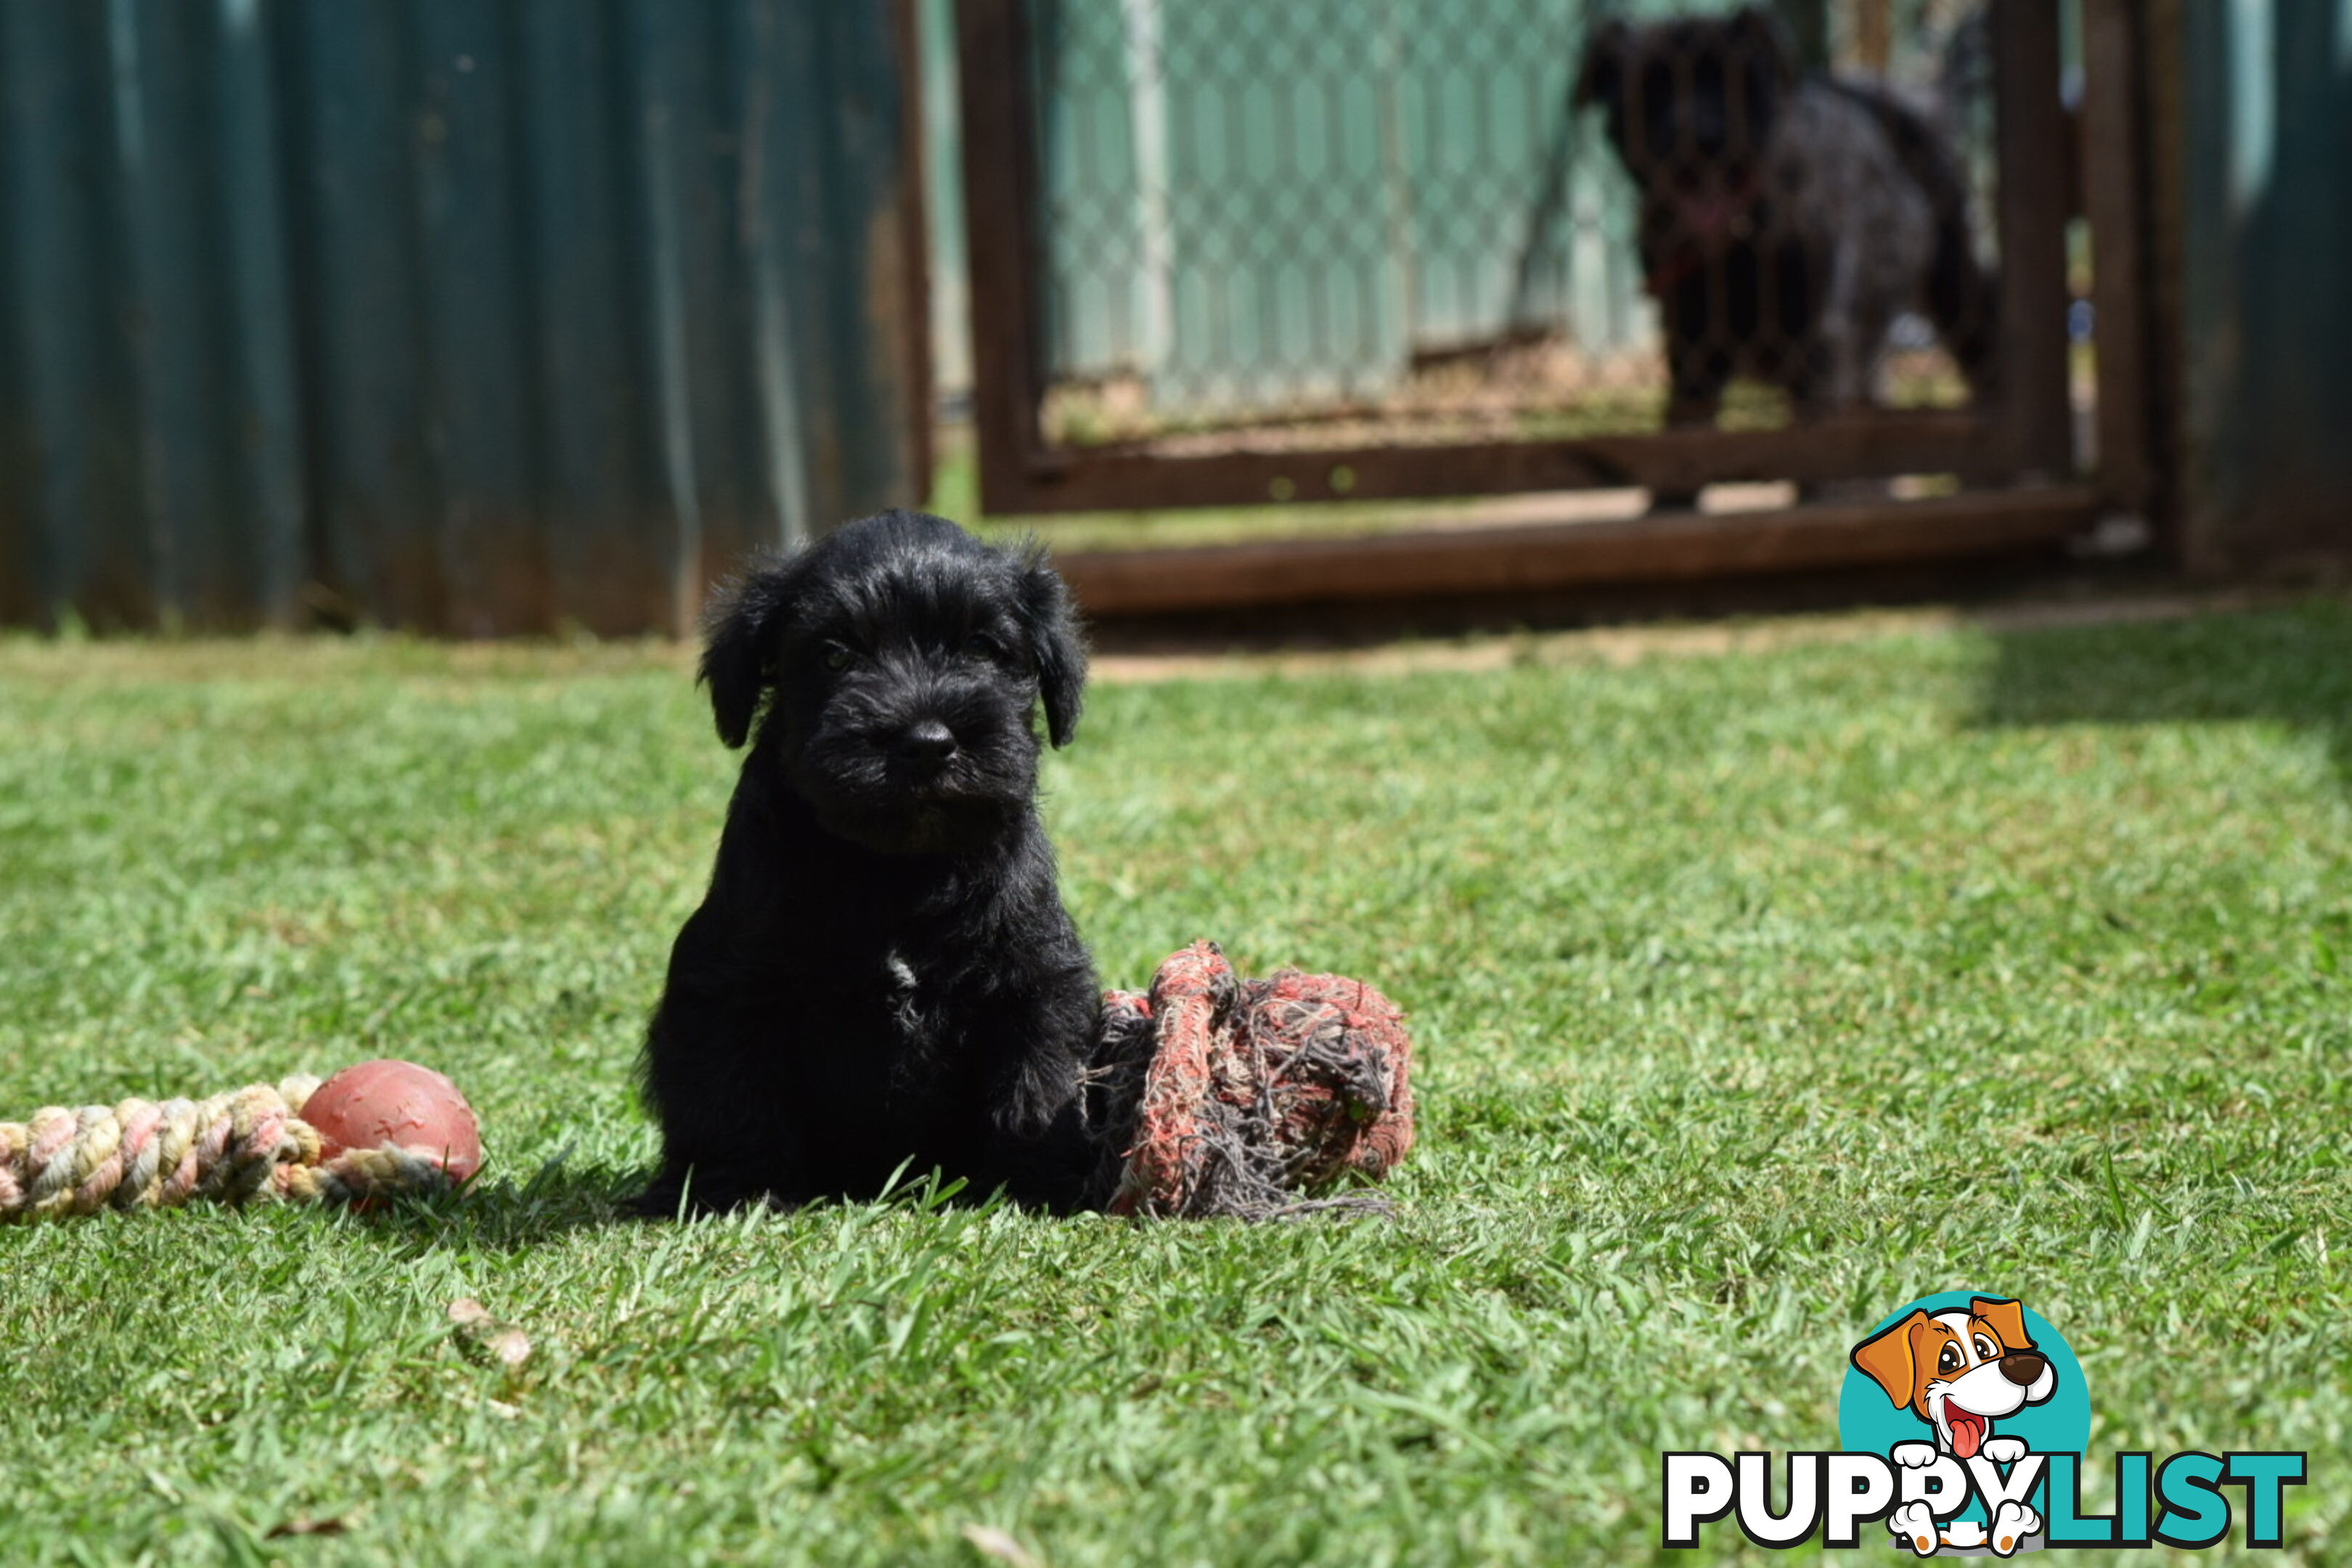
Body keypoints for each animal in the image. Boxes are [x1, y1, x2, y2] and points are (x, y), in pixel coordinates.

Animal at [625, 512, 1101, 1213]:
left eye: (983, 647)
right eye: (835, 655)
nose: (927, 743)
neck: (895, 870)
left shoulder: (1036, 979)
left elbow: (1037, 1082)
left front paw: (1038, 1185)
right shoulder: (726, 985)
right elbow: (730, 1093)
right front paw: (737, 1188)